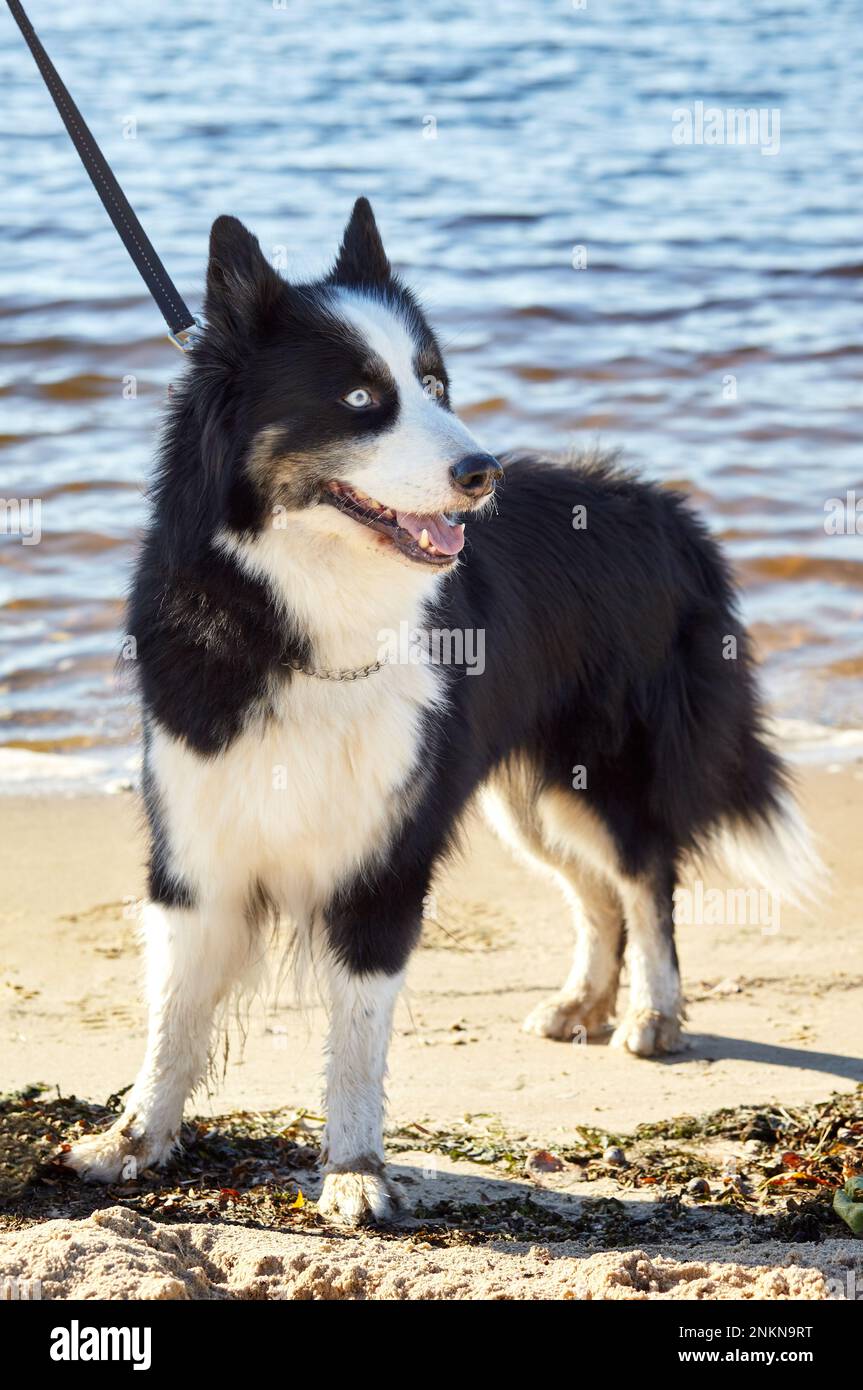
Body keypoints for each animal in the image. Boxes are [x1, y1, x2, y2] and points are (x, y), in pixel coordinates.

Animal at [63, 201, 817, 1223]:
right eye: (358, 399)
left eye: (432, 384)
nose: (481, 470)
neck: (309, 623)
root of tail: (664, 507)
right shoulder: (195, 848)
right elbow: (171, 1017)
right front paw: (134, 1140)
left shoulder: (384, 860)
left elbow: (355, 1043)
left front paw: (353, 1174)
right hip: (523, 797)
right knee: (594, 895)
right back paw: (582, 1003)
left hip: (599, 773)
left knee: (644, 879)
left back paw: (651, 1013)